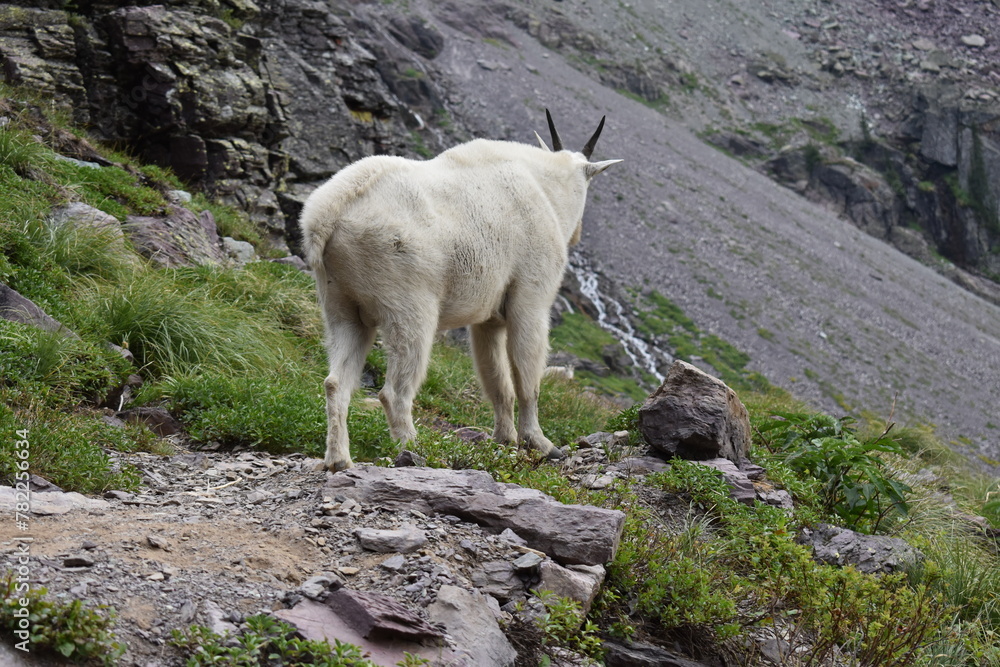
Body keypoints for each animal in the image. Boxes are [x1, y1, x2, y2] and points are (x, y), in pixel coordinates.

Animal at [300, 110, 622, 471]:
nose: (578, 233)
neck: (546, 189)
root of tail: (326, 218)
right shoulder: (530, 299)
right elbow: (527, 378)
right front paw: (540, 443)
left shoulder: (488, 319)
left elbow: (497, 380)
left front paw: (505, 439)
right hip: (409, 305)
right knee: (395, 390)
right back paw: (417, 449)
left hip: (341, 306)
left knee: (335, 382)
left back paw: (339, 459)